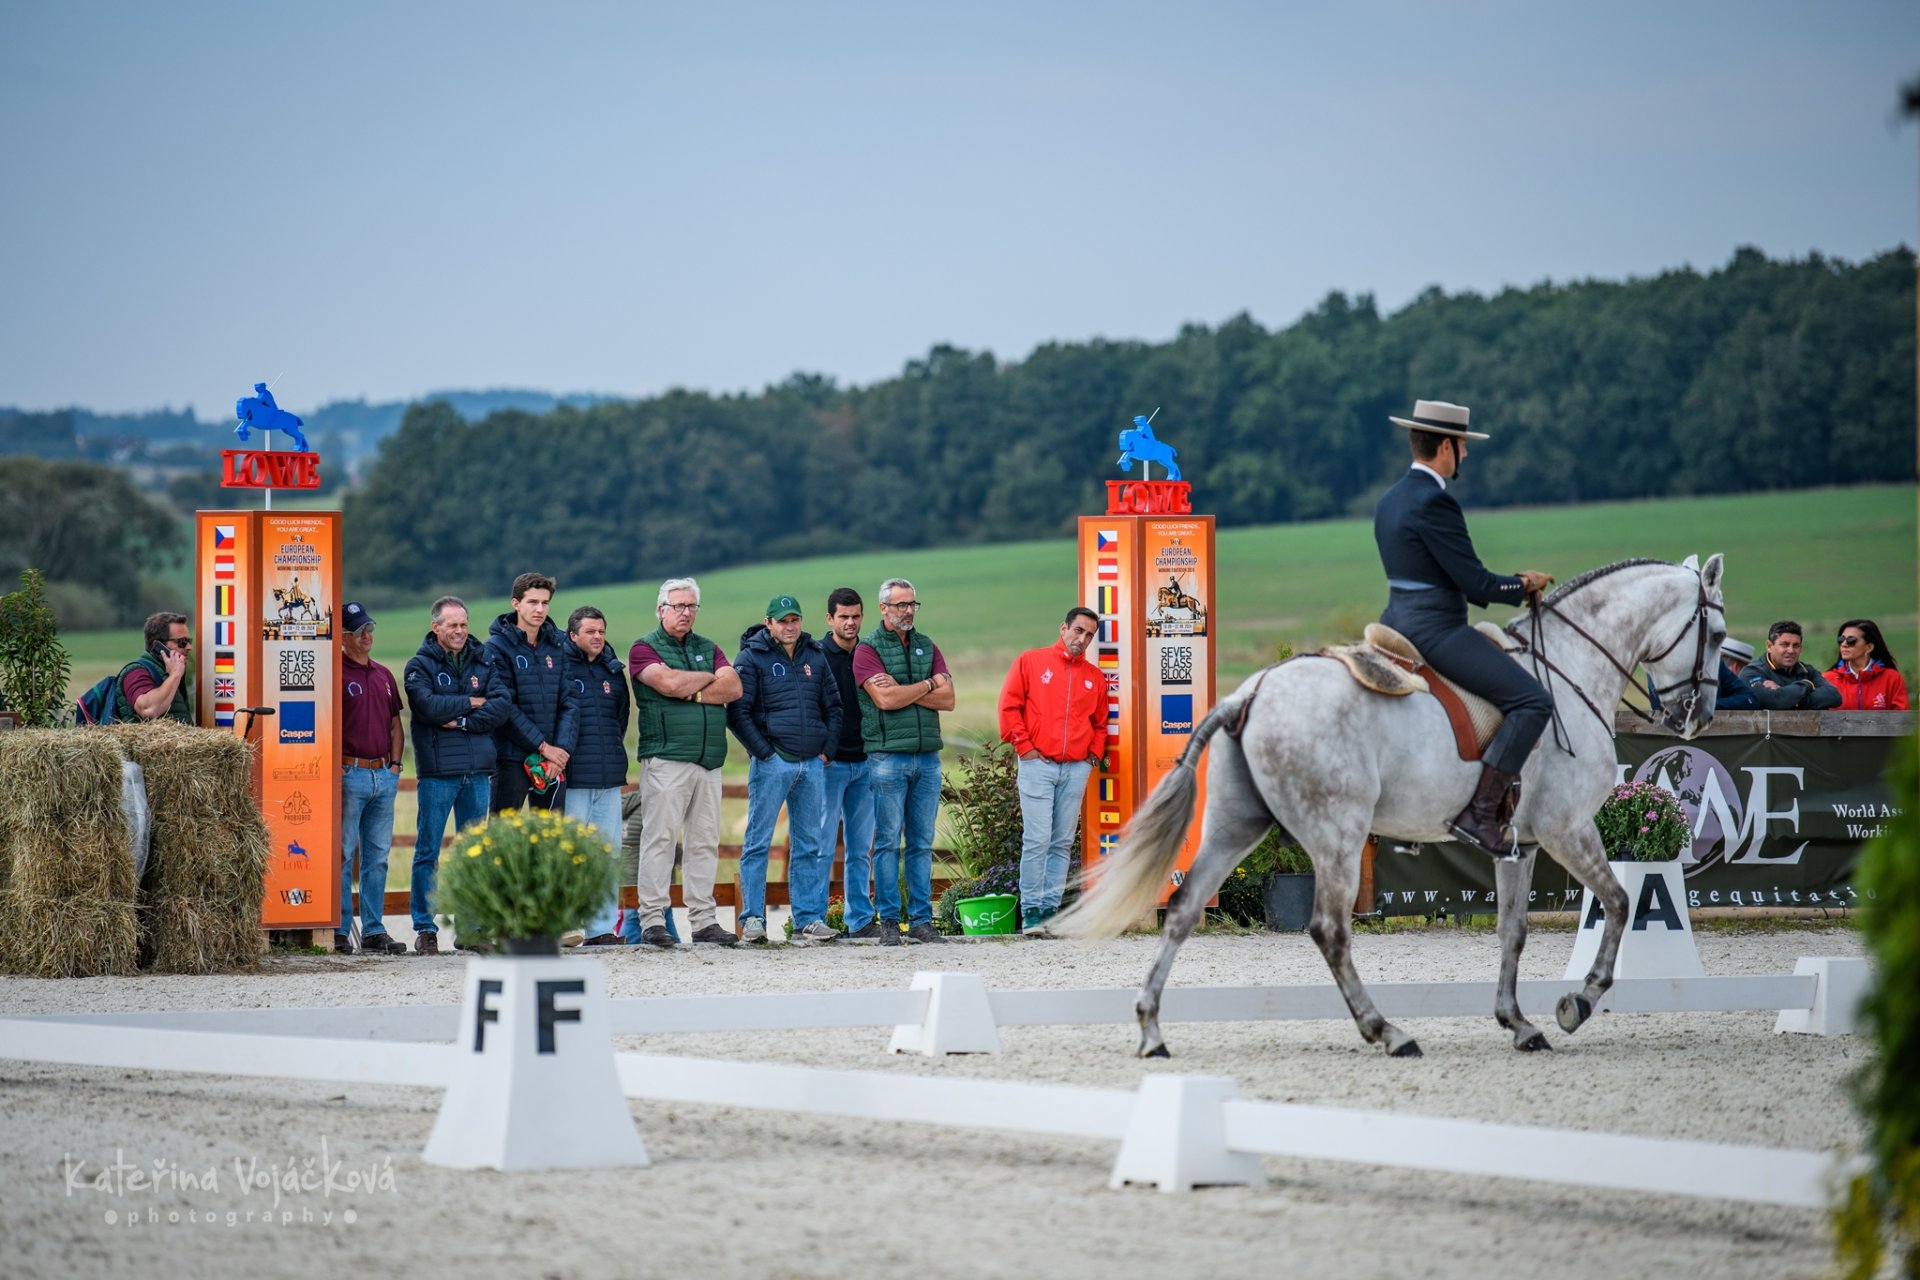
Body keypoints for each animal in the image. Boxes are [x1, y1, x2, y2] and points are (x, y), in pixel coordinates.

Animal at [1059, 556, 1735, 1059]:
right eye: (1721, 636)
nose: (1698, 717)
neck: (1571, 667)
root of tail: (1250, 693)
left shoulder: (1519, 844)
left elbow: (1512, 930)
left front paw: (1518, 1023)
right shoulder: (1567, 827)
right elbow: (1620, 903)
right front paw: (1579, 1003)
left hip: (1234, 827)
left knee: (1181, 912)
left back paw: (1152, 1030)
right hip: (1337, 833)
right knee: (1329, 930)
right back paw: (1387, 1031)